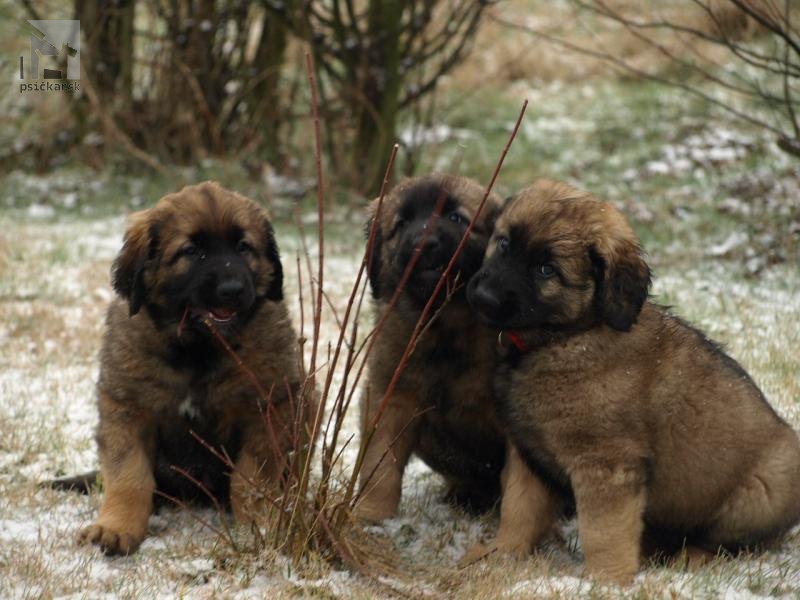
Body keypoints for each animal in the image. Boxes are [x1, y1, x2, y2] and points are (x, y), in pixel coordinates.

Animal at [73, 180, 312, 556]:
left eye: (243, 247)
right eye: (191, 251)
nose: (232, 289)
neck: (198, 348)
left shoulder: (269, 407)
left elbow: (252, 480)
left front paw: (261, 525)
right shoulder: (127, 406)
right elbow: (129, 477)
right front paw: (115, 528)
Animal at [358, 172, 506, 520]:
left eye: (457, 218)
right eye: (400, 225)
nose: (423, 244)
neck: (443, 323)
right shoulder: (391, 396)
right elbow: (379, 461)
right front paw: (371, 514)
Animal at [462, 178, 800, 580]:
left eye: (546, 270)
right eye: (503, 243)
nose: (483, 296)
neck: (567, 336)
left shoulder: (607, 463)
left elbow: (603, 531)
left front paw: (604, 580)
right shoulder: (526, 453)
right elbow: (518, 507)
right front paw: (501, 555)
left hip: (756, 494)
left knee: (731, 544)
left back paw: (690, 557)